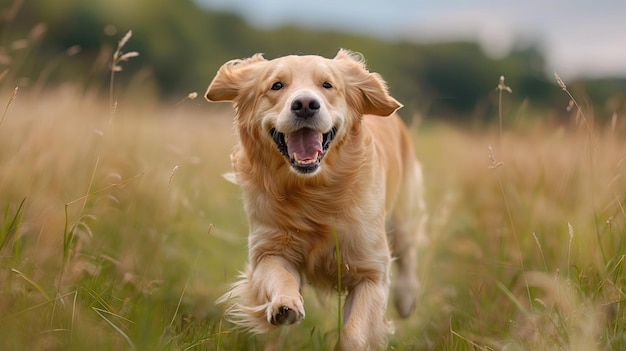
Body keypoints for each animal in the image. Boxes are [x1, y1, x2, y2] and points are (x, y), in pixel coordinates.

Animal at [207, 48, 426, 350]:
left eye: (327, 85)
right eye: (276, 85)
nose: (305, 104)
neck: (314, 191)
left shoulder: (371, 273)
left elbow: (354, 333)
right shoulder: (269, 247)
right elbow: (279, 275)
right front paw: (284, 304)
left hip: (404, 211)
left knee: (408, 252)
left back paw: (406, 298)